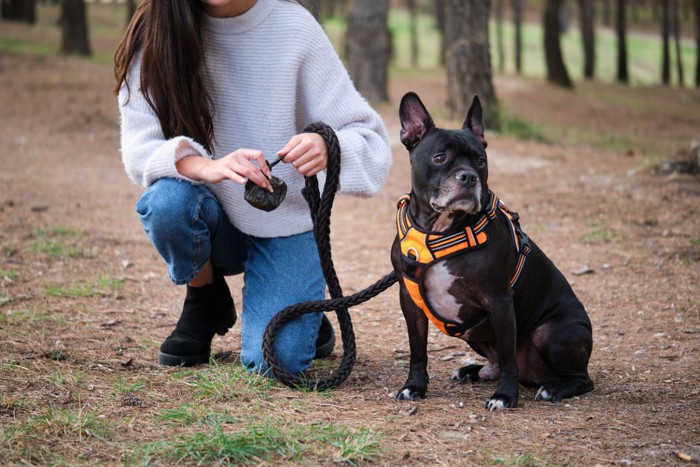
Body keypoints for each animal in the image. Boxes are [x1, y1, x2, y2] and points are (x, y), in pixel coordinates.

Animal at [392, 93, 592, 412]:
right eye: (439, 157)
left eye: (481, 161)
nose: (468, 176)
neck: (442, 231)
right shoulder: (410, 302)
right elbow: (417, 350)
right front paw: (414, 387)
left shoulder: (498, 300)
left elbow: (509, 356)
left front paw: (505, 396)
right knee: (497, 362)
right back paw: (472, 371)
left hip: (552, 333)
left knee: (580, 378)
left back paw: (553, 389)